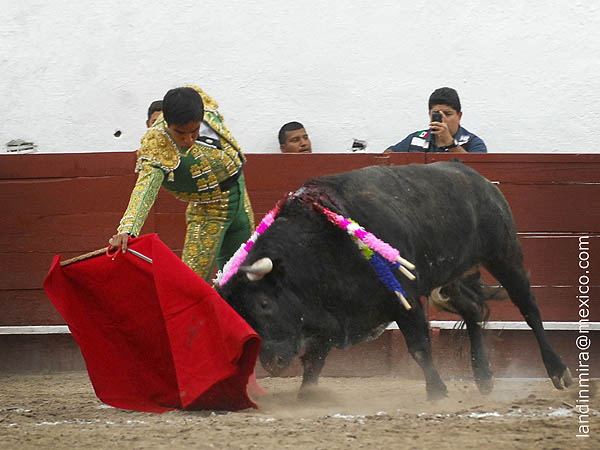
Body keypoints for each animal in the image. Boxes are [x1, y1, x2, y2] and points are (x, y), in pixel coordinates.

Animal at [218, 161, 576, 398]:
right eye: (242, 315)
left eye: (265, 304)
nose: (273, 363)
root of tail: (478, 178)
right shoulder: (328, 312)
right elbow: (314, 360)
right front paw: (307, 396)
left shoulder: (402, 297)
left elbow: (418, 346)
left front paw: (437, 393)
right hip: (447, 279)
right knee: (473, 310)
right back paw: (484, 377)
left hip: (504, 256)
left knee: (529, 309)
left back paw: (559, 371)